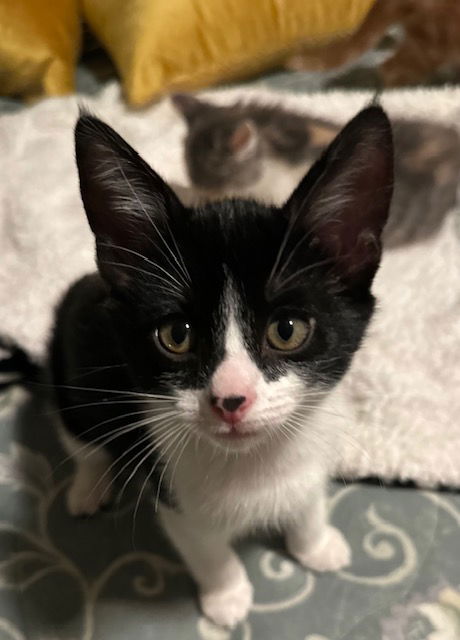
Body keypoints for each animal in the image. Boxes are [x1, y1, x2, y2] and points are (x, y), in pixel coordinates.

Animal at [50, 105, 393, 627]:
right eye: (177, 335)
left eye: (287, 329)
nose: (231, 399)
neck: (255, 465)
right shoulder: (170, 489)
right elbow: (204, 546)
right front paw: (227, 597)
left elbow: (307, 495)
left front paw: (315, 543)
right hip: (69, 371)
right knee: (82, 442)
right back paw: (89, 487)